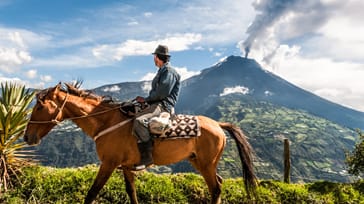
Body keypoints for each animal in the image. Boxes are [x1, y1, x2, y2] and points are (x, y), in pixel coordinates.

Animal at [24, 82, 258, 203]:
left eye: (39, 107)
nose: (26, 137)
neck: (106, 121)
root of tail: (218, 124)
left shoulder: (108, 164)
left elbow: (92, 192)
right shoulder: (127, 166)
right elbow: (131, 192)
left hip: (206, 164)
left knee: (216, 188)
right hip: (199, 162)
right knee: (218, 183)